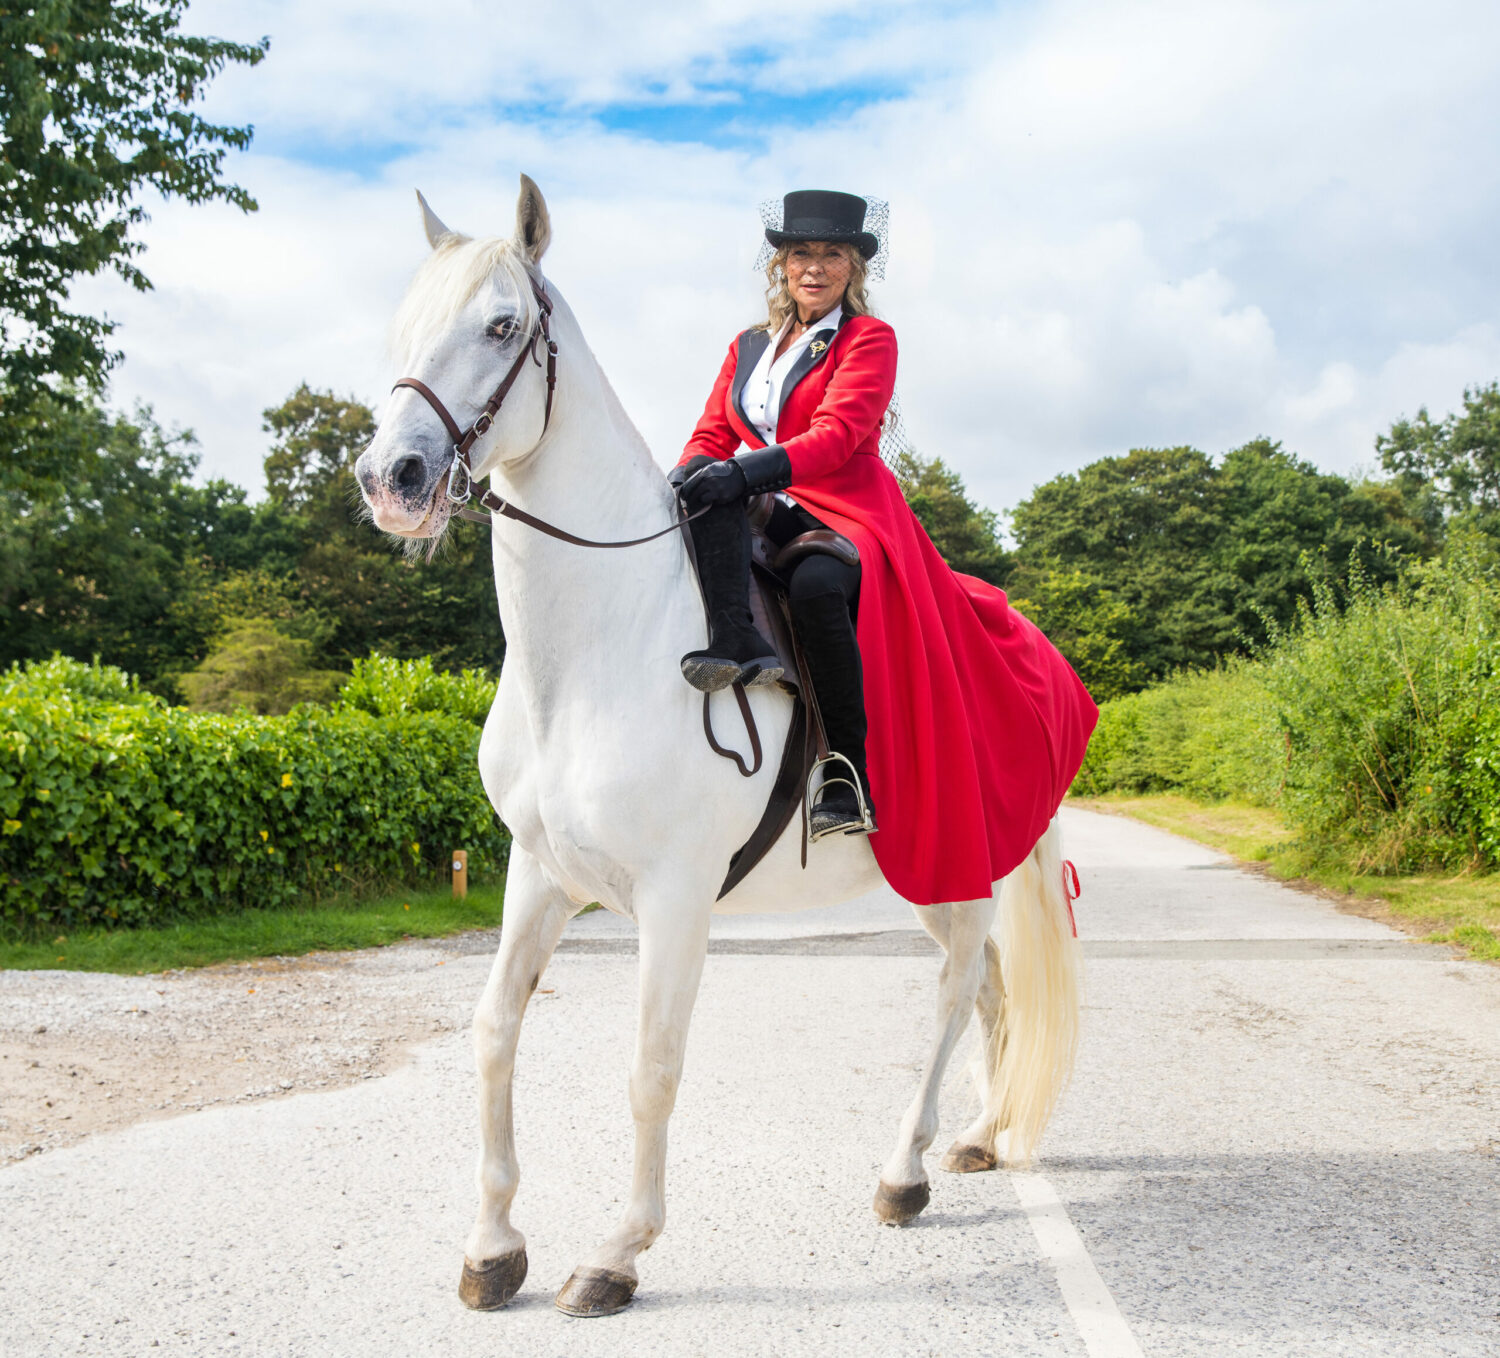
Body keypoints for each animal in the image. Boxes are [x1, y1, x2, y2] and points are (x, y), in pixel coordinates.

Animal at [353, 175, 1081, 1319]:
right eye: (405, 323)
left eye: (503, 325)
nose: (394, 477)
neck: (600, 643)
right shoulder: (536, 874)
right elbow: (493, 1032)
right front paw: (493, 1244)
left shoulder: (674, 898)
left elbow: (651, 1067)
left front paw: (616, 1253)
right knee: (993, 990)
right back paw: (974, 1135)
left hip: (959, 864)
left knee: (956, 988)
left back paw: (904, 1171)